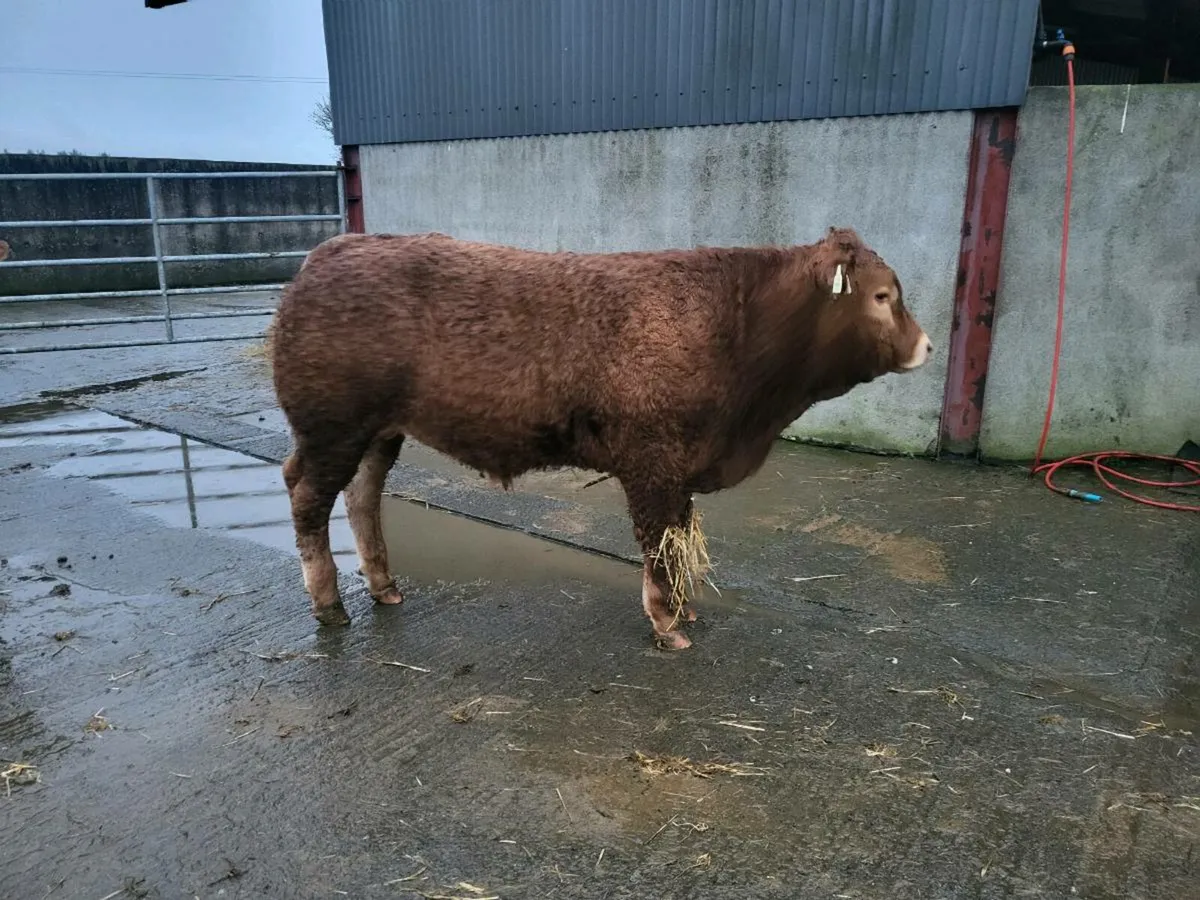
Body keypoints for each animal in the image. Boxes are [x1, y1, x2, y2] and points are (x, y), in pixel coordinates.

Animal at [270, 228, 933, 650]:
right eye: (882, 296)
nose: (927, 345)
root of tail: (325, 254)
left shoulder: (680, 468)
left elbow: (677, 537)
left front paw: (686, 607)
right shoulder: (652, 463)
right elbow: (656, 543)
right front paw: (668, 625)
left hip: (379, 432)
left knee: (362, 496)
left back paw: (384, 588)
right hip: (330, 428)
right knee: (307, 497)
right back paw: (329, 605)